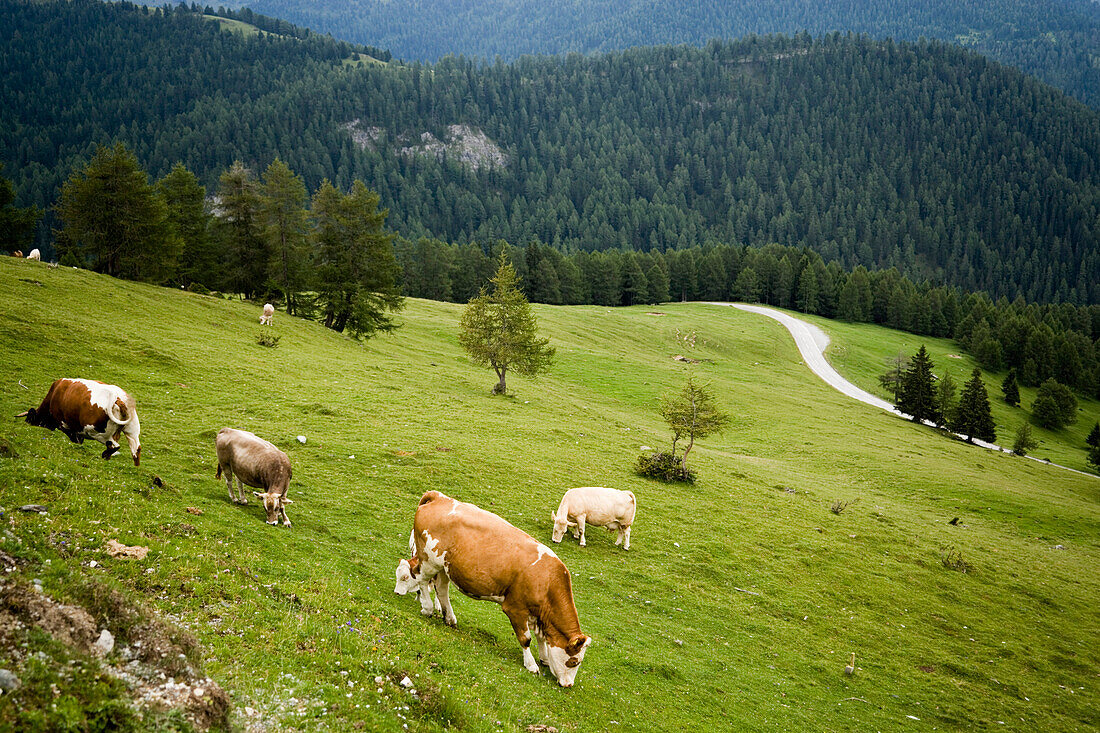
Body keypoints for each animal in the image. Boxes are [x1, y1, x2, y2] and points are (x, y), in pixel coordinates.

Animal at [391, 490, 589, 686]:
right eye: (574, 661)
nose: (569, 685)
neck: (547, 578)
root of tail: (439, 497)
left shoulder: (538, 614)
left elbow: (541, 638)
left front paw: (545, 658)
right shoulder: (515, 608)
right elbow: (526, 639)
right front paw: (531, 664)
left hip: (445, 567)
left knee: (441, 589)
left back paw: (449, 617)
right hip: (429, 560)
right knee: (421, 579)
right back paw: (427, 608)